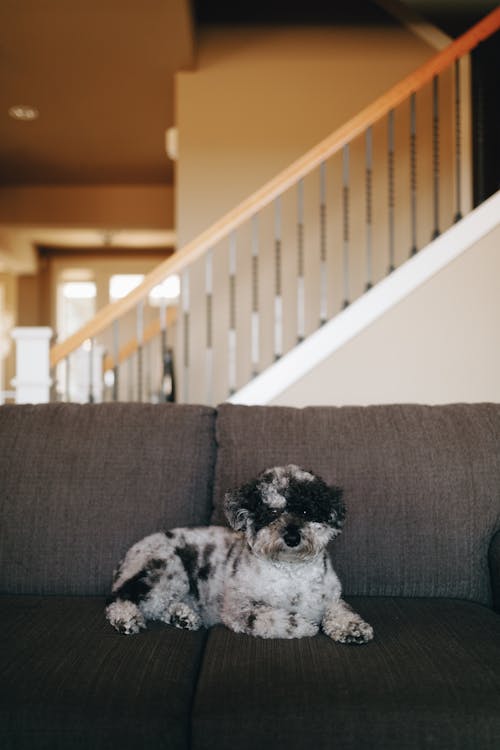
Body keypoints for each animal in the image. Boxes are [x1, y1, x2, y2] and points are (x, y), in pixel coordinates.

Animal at [105, 464, 374, 648]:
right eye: (271, 512)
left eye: (307, 510)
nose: (292, 537)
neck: (291, 573)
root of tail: (123, 561)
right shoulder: (239, 608)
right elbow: (268, 617)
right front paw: (303, 625)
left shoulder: (331, 598)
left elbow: (341, 610)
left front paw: (352, 627)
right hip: (167, 568)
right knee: (123, 601)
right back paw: (126, 619)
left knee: (157, 606)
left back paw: (182, 616)